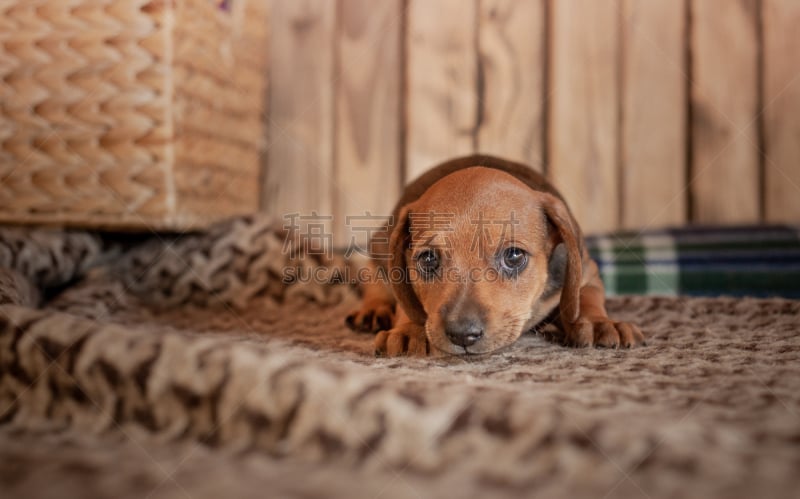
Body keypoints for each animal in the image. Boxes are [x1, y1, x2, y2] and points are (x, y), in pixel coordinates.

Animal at [346, 155, 648, 356]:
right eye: (428, 259)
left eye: (514, 256)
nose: (462, 335)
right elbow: (405, 301)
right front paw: (409, 329)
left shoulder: (586, 270)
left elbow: (585, 296)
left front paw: (599, 323)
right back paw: (373, 309)